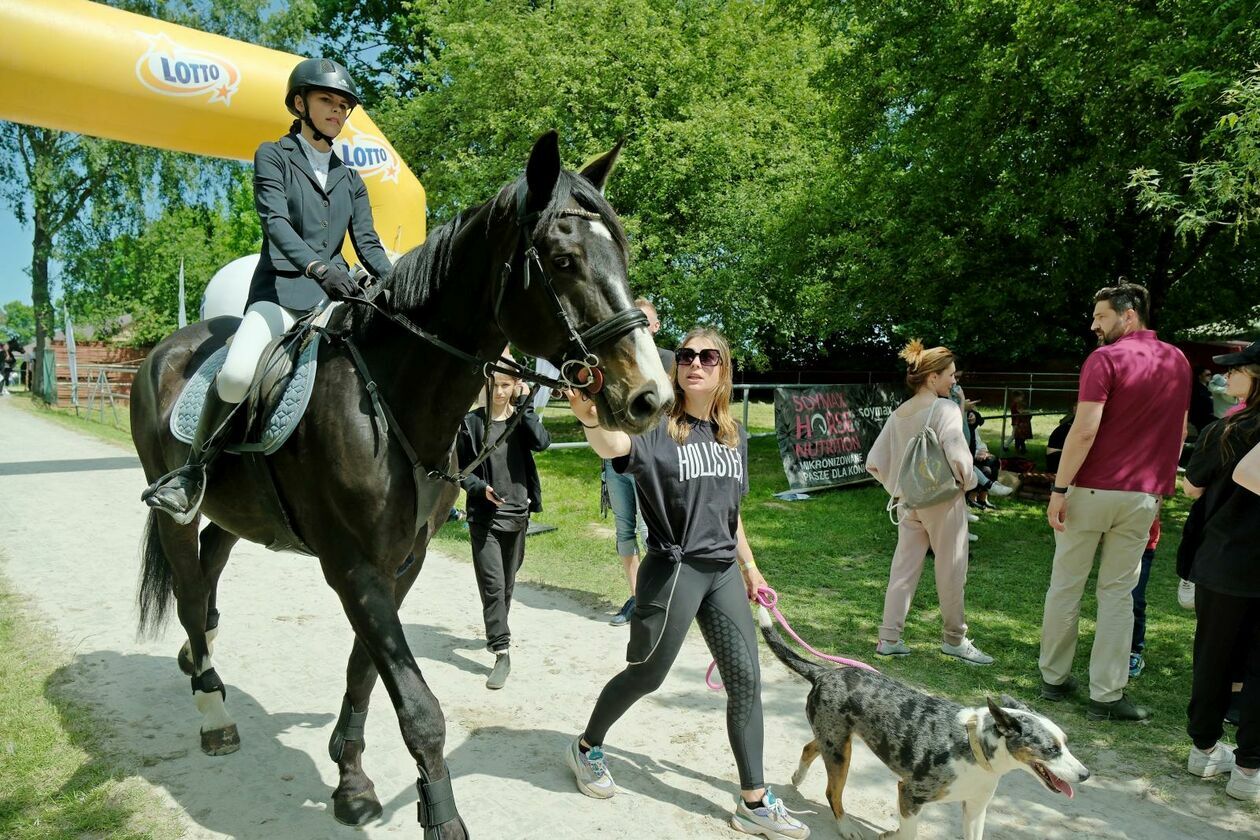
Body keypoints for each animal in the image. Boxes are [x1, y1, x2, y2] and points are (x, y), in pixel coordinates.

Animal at [130, 134, 670, 836]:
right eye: (562, 259)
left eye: (622, 253)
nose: (649, 398)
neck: (389, 397)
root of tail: (164, 350)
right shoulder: (354, 567)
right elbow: (416, 703)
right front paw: (440, 814)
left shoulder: (401, 563)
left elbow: (366, 671)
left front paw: (351, 780)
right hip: (175, 508)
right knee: (191, 596)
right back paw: (213, 710)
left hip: (234, 512)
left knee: (210, 571)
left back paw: (200, 663)